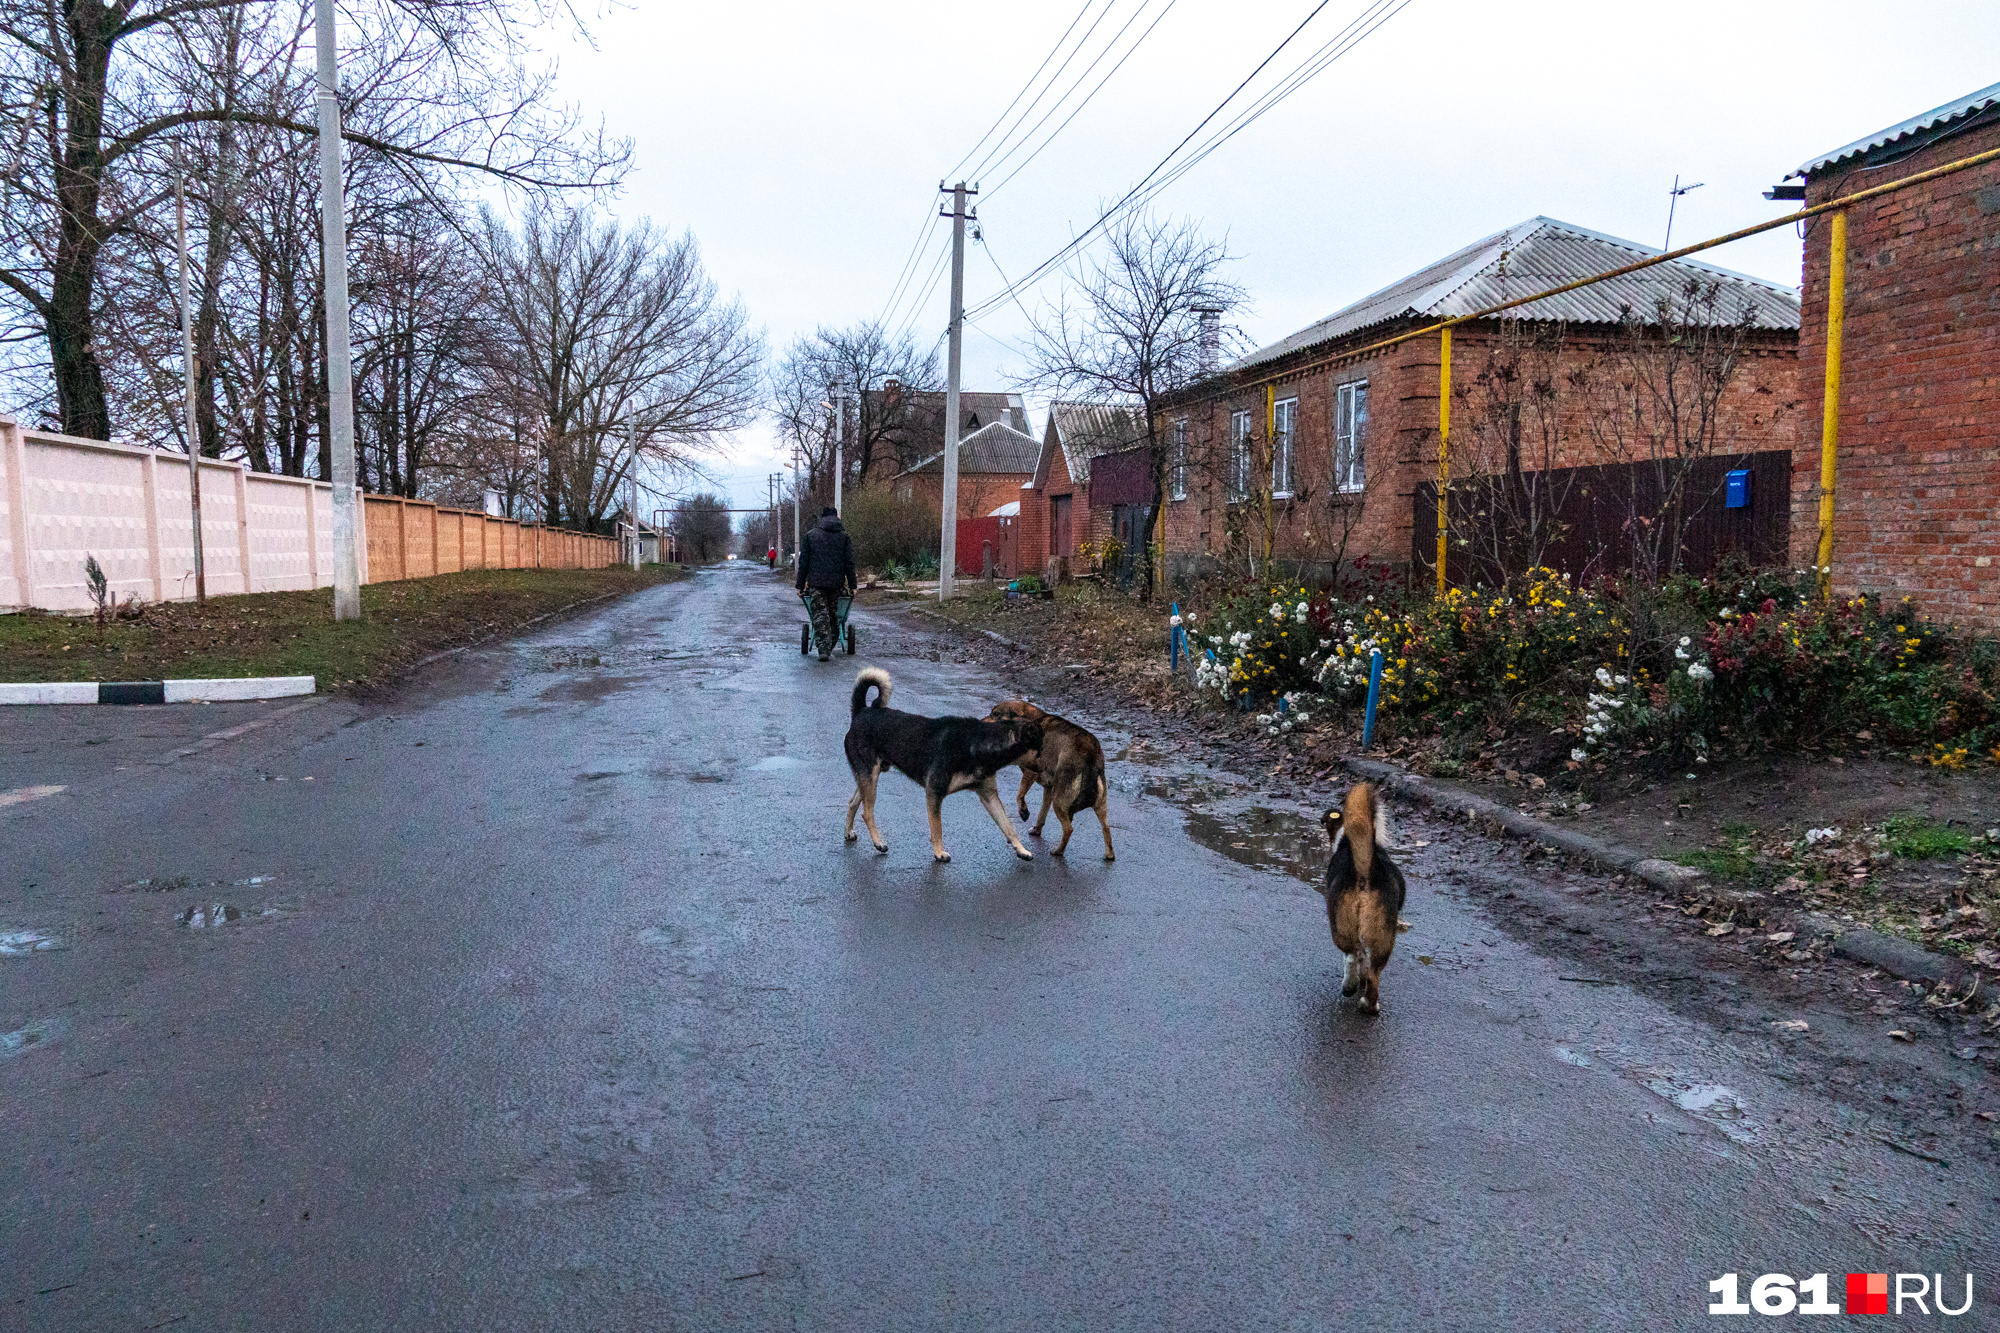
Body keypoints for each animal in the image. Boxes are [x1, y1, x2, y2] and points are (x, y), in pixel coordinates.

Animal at [840, 664, 1040, 860]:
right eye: (1040, 748)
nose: (1040, 770)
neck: (979, 743)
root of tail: (861, 711)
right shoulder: (934, 793)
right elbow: (937, 828)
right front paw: (939, 852)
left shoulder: (989, 795)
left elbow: (1008, 826)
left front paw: (1021, 849)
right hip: (870, 776)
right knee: (867, 812)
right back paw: (878, 842)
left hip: (869, 776)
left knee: (852, 802)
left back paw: (848, 831)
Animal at [988, 696, 1120, 860]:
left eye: (995, 714)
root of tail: (1090, 755)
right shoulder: (1049, 788)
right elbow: (1042, 812)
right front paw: (1036, 829)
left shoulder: (1031, 772)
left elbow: (1020, 795)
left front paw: (1024, 812)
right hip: (1099, 805)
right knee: (1106, 828)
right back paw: (1109, 854)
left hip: (1059, 802)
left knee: (1068, 829)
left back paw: (1058, 851)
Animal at [1320, 784, 1416, 1012]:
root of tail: (1365, 871)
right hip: (1383, 937)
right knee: (1372, 972)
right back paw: (1369, 1004)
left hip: (1342, 929)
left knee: (1354, 956)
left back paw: (1350, 986)